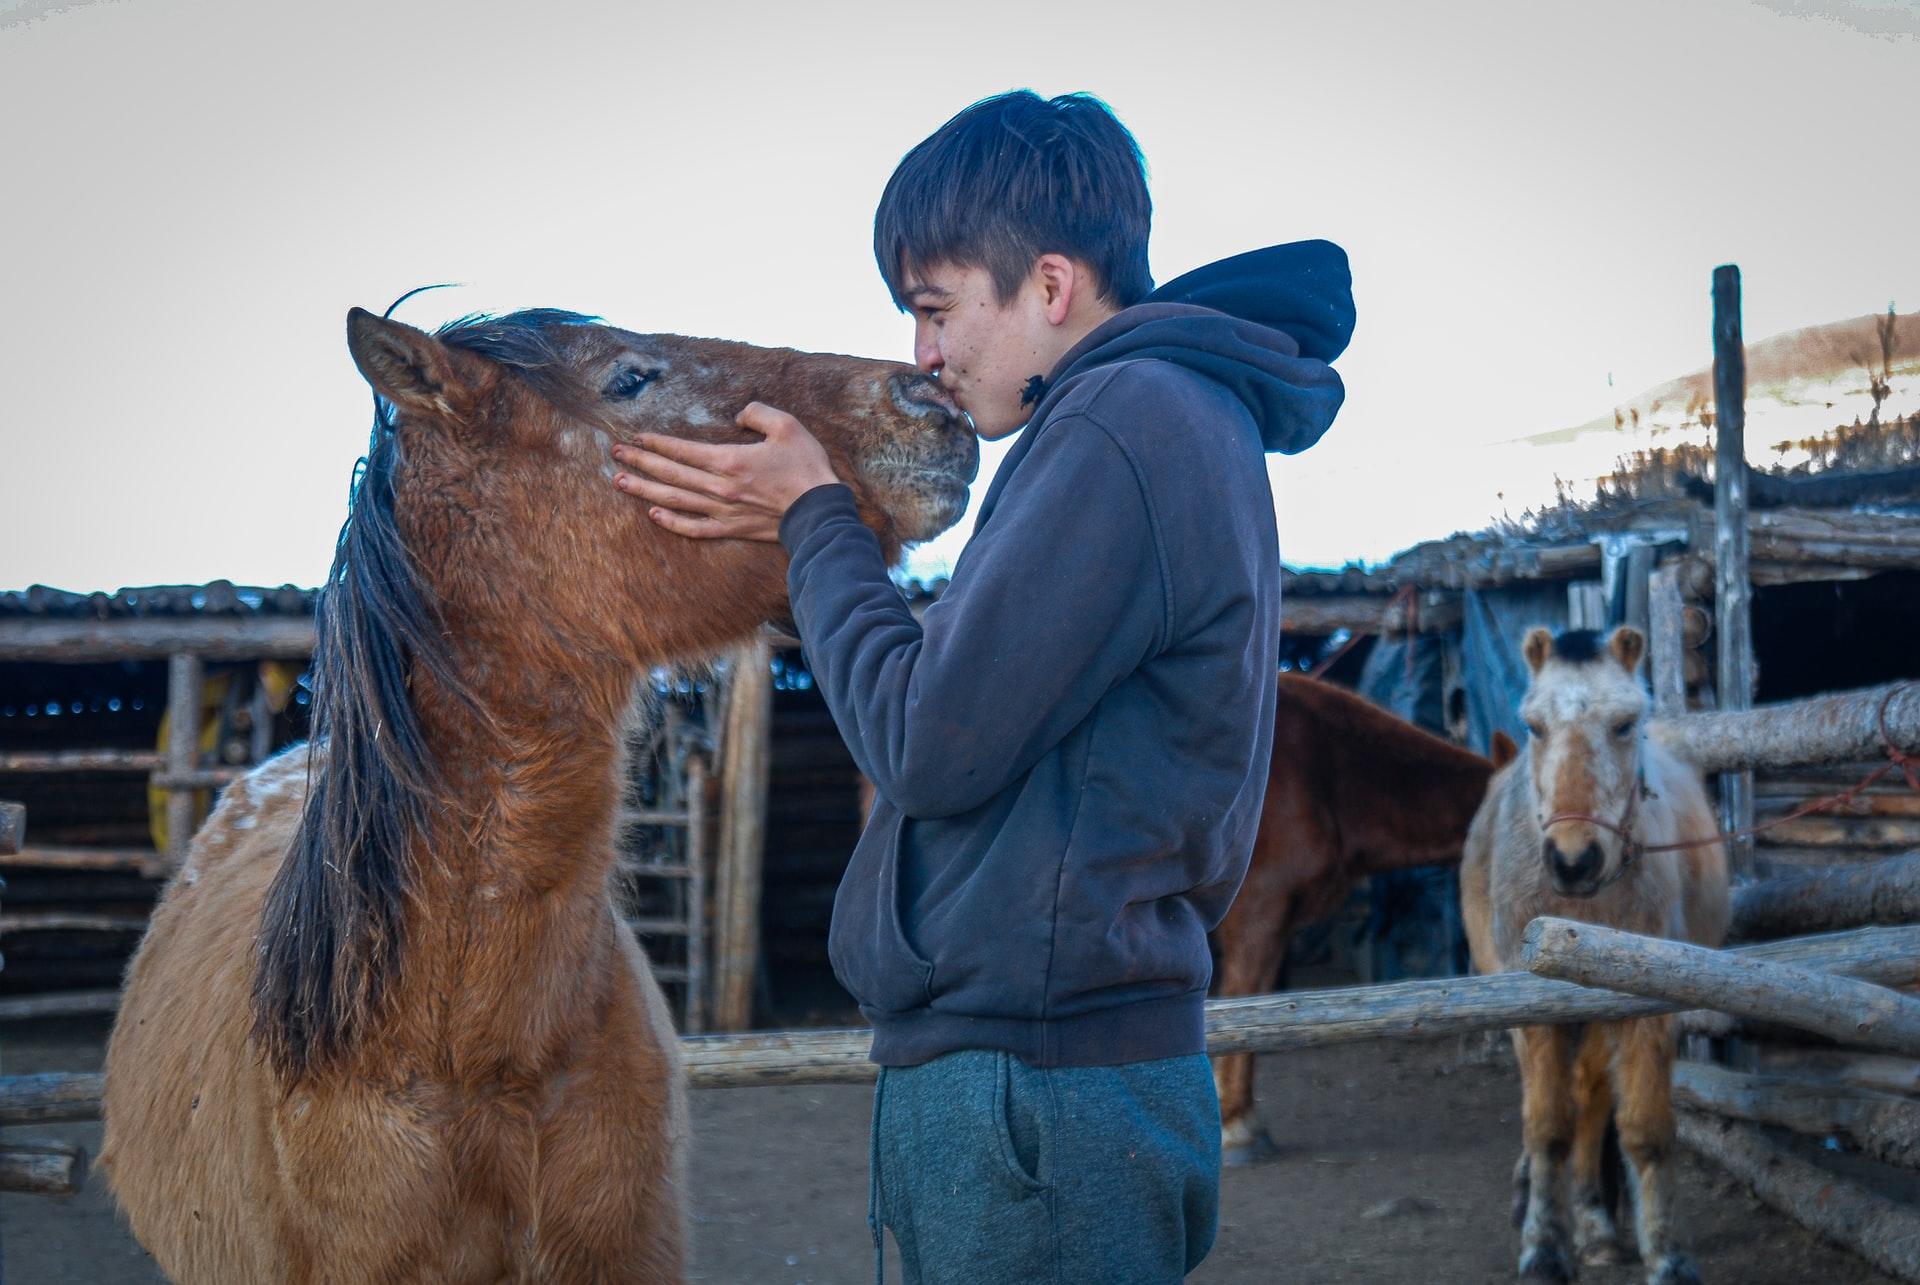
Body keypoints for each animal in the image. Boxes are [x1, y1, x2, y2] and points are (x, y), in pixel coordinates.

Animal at [1460, 627, 1728, 1285]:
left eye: (1626, 724)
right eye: (1533, 726)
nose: (1573, 860)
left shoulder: (1646, 1011)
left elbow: (1644, 1130)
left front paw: (1665, 1255)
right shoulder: (1533, 1014)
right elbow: (1546, 1126)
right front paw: (1542, 1247)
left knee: (1590, 1096)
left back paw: (1596, 1226)